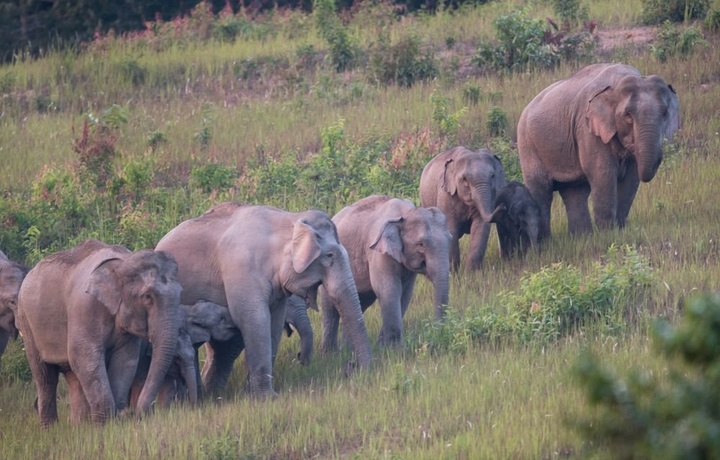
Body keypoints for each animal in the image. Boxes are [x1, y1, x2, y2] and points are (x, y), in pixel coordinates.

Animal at [17, 239, 183, 426]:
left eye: (181, 293)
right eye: (147, 297)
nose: (137, 414)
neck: (122, 262)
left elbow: (125, 360)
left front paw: (112, 423)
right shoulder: (84, 306)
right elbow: (83, 355)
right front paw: (105, 425)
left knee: (72, 376)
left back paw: (79, 426)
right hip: (26, 322)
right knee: (45, 377)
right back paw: (50, 428)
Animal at [156, 203, 372, 398]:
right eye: (329, 256)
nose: (351, 367)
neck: (288, 218)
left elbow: (274, 323)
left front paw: (251, 394)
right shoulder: (242, 270)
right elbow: (255, 319)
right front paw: (267, 398)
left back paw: (212, 394)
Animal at [320, 193, 450, 348]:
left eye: (450, 239)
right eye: (421, 244)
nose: (438, 333)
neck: (405, 213)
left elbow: (405, 294)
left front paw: (383, 347)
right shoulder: (378, 253)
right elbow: (389, 290)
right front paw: (394, 349)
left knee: (359, 304)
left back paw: (348, 349)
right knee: (331, 309)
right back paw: (331, 351)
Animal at [516, 62, 680, 239]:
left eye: (664, 113)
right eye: (628, 114)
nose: (660, 157)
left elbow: (631, 177)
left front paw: (619, 229)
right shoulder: (587, 129)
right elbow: (603, 173)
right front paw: (607, 234)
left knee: (574, 191)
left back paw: (581, 238)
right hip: (528, 144)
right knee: (542, 191)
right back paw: (545, 241)